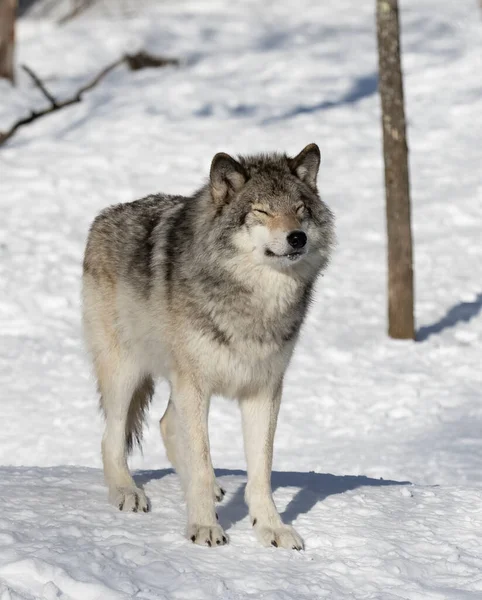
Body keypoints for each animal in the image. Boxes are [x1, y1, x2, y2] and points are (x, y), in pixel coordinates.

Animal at [81, 144, 334, 548]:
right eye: (261, 211)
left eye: (300, 210)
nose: (297, 238)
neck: (255, 302)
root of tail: (104, 216)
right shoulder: (195, 385)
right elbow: (200, 460)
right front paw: (203, 527)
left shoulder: (264, 390)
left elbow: (261, 471)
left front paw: (272, 528)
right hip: (126, 372)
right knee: (112, 437)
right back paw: (127, 492)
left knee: (167, 424)